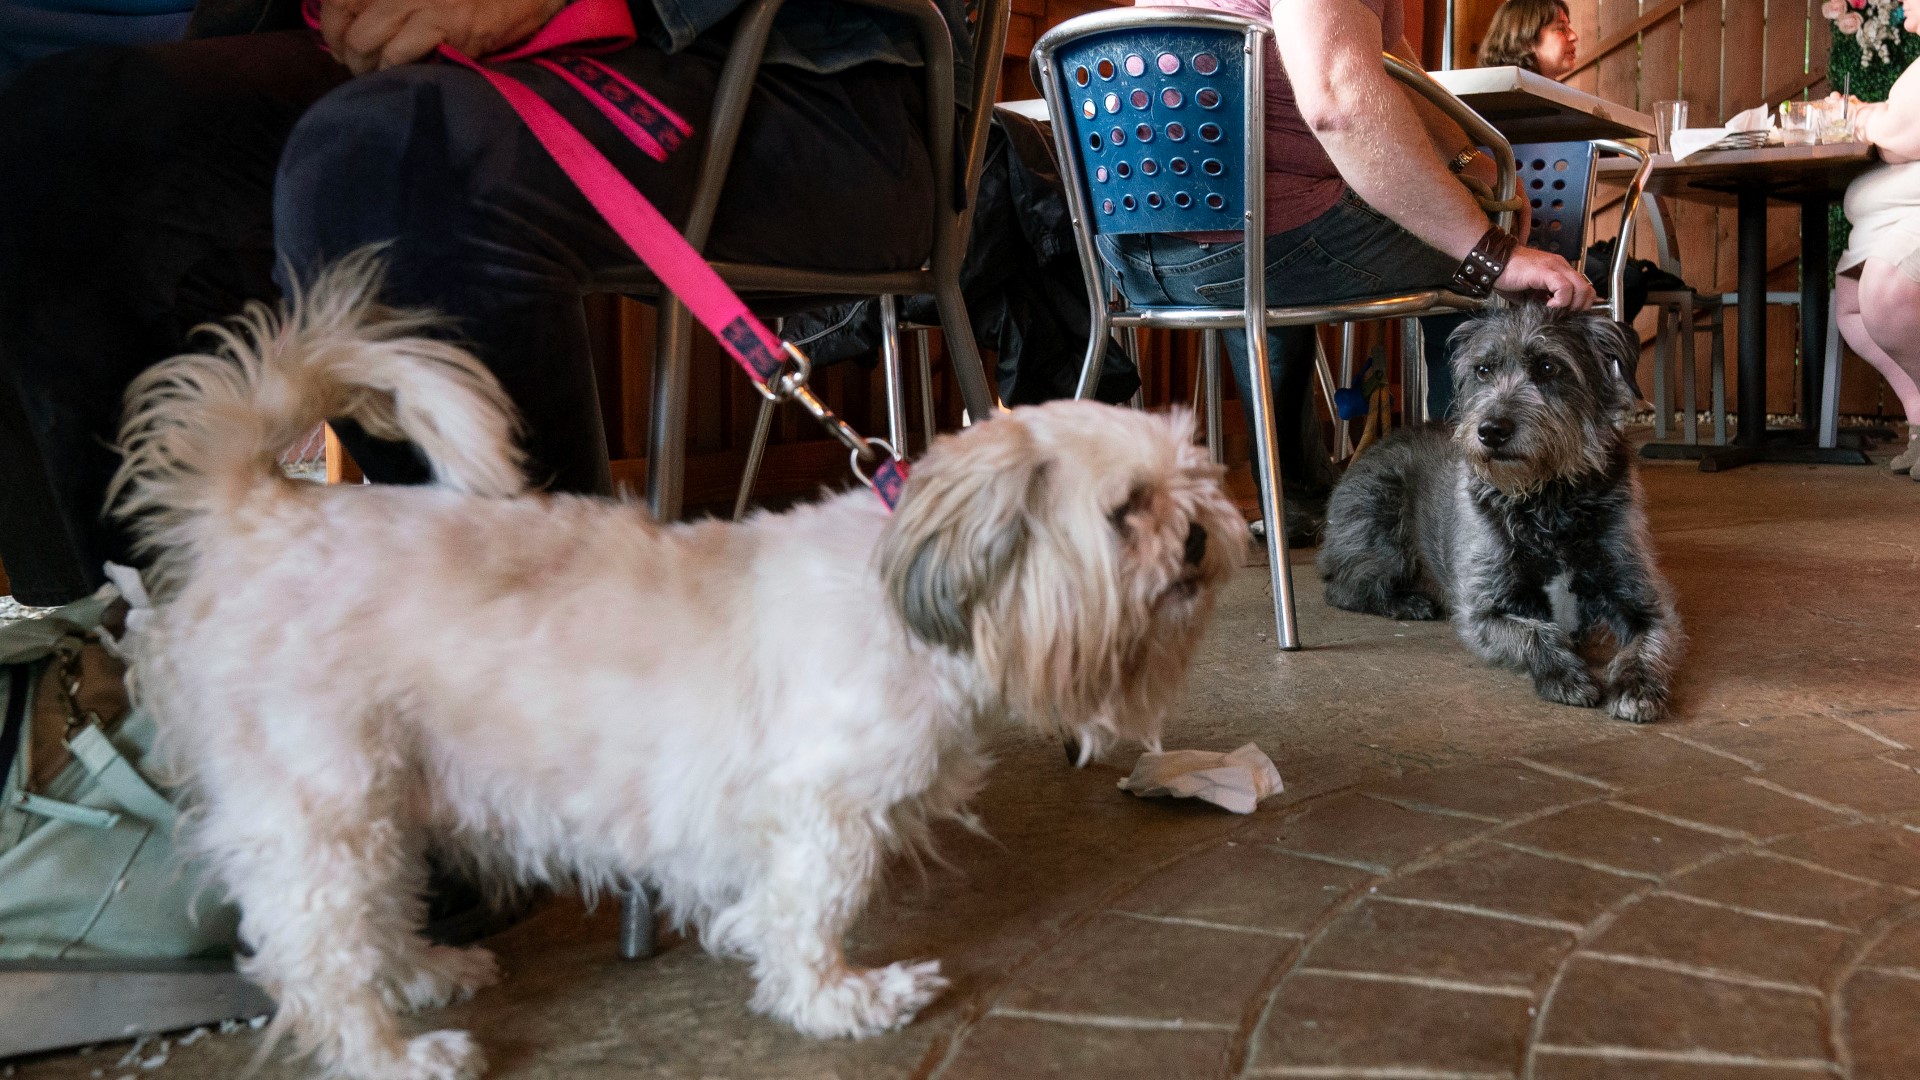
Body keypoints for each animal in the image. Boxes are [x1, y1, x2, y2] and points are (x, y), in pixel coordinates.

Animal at [108, 259, 1244, 1076]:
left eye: (1201, 484)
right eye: (1126, 511)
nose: (1199, 538)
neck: (912, 602)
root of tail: (263, 506)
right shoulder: (819, 812)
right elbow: (808, 916)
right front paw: (840, 1000)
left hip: (379, 800)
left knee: (369, 915)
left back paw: (425, 972)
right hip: (326, 803)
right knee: (318, 955)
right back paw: (392, 1053)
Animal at [1320, 303, 1681, 718]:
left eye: (1547, 366)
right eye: (1483, 370)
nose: (1491, 430)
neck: (1546, 499)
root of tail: (1368, 449)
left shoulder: (1644, 601)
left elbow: (1648, 641)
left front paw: (1637, 686)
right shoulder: (1483, 609)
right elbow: (1534, 632)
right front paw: (1564, 674)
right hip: (1385, 539)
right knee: (1343, 588)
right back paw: (1407, 602)